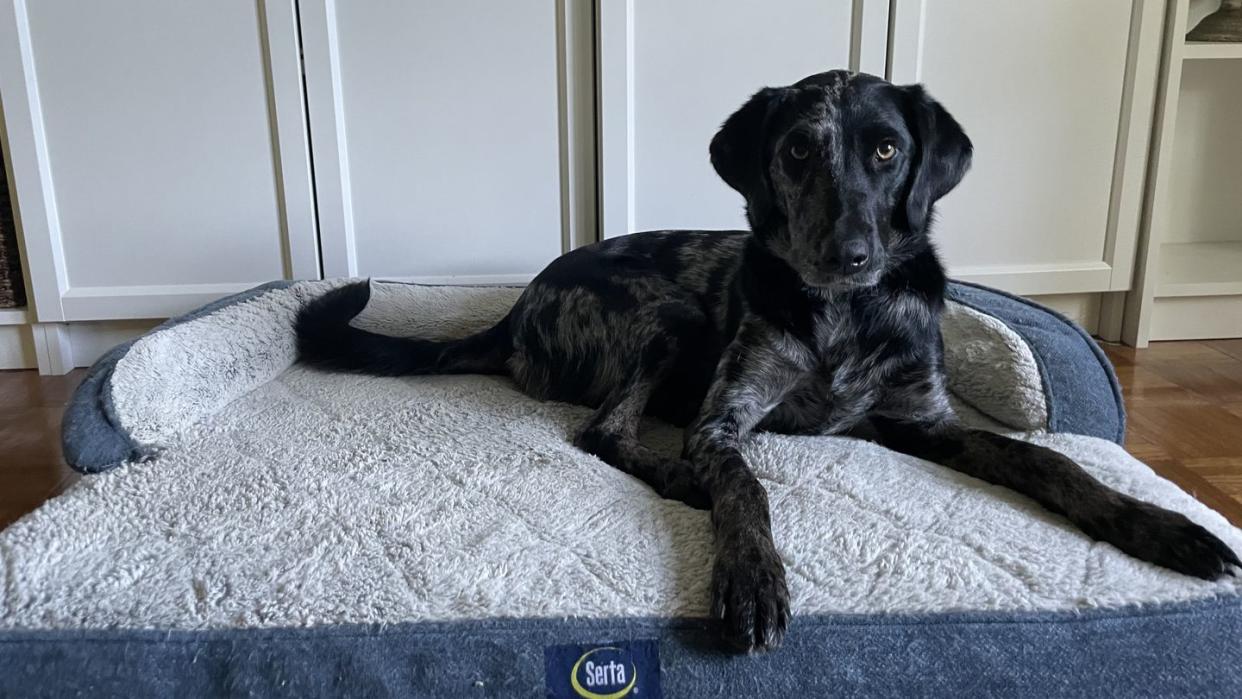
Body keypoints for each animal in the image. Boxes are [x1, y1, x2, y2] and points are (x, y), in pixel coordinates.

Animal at [295, 71, 1237, 655]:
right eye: (797, 151)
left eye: (887, 150)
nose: (851, 253)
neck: (846, 315)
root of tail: (517, 308)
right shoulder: (725, 418)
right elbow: (746, 489)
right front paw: (750, 577)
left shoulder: (926, 423)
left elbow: (1047, 461)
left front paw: (1163, 526)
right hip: (664, 317)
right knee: (604, 432)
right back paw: (680, 477)